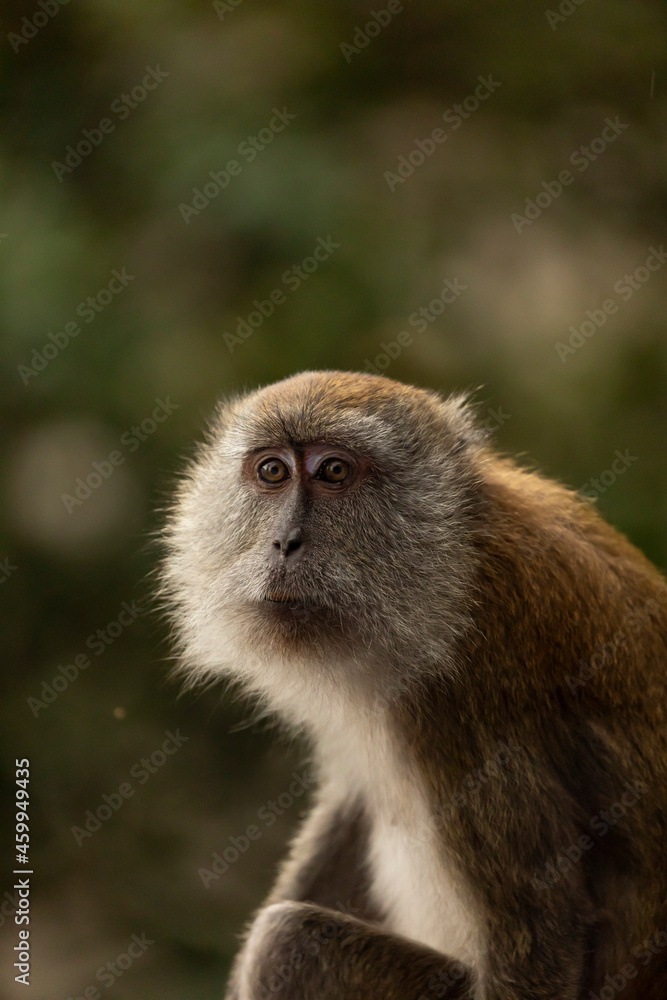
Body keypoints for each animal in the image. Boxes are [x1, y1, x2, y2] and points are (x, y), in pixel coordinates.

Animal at [160, 370, 667, 1000]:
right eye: (272, 471)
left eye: (333, 472)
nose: (284, 542)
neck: (453, 564)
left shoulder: (464, 694)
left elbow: (544, 940)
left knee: (287, 943)